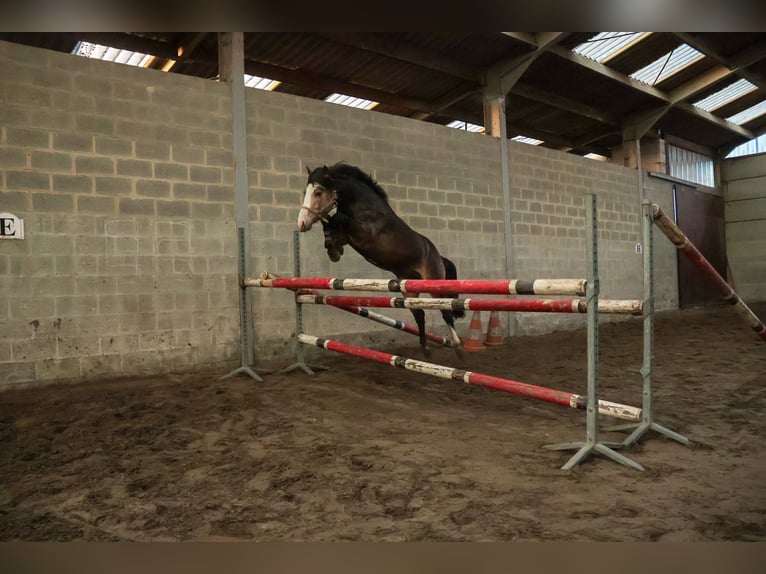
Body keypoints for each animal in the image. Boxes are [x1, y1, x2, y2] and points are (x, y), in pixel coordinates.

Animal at [298, 162, 468, 358]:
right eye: (306, 191)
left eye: (318, 192)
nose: (301, 223)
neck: (363, 206)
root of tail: (439, 257)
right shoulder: (347, 236)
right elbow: (332, 226)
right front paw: (333, 249)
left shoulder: (364, 233)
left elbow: (338, 218)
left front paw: (333, 244)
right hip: (409, 287)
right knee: (419, 314)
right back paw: (425, 350)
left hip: (433, 283)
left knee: (445, 311)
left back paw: (458, 347)